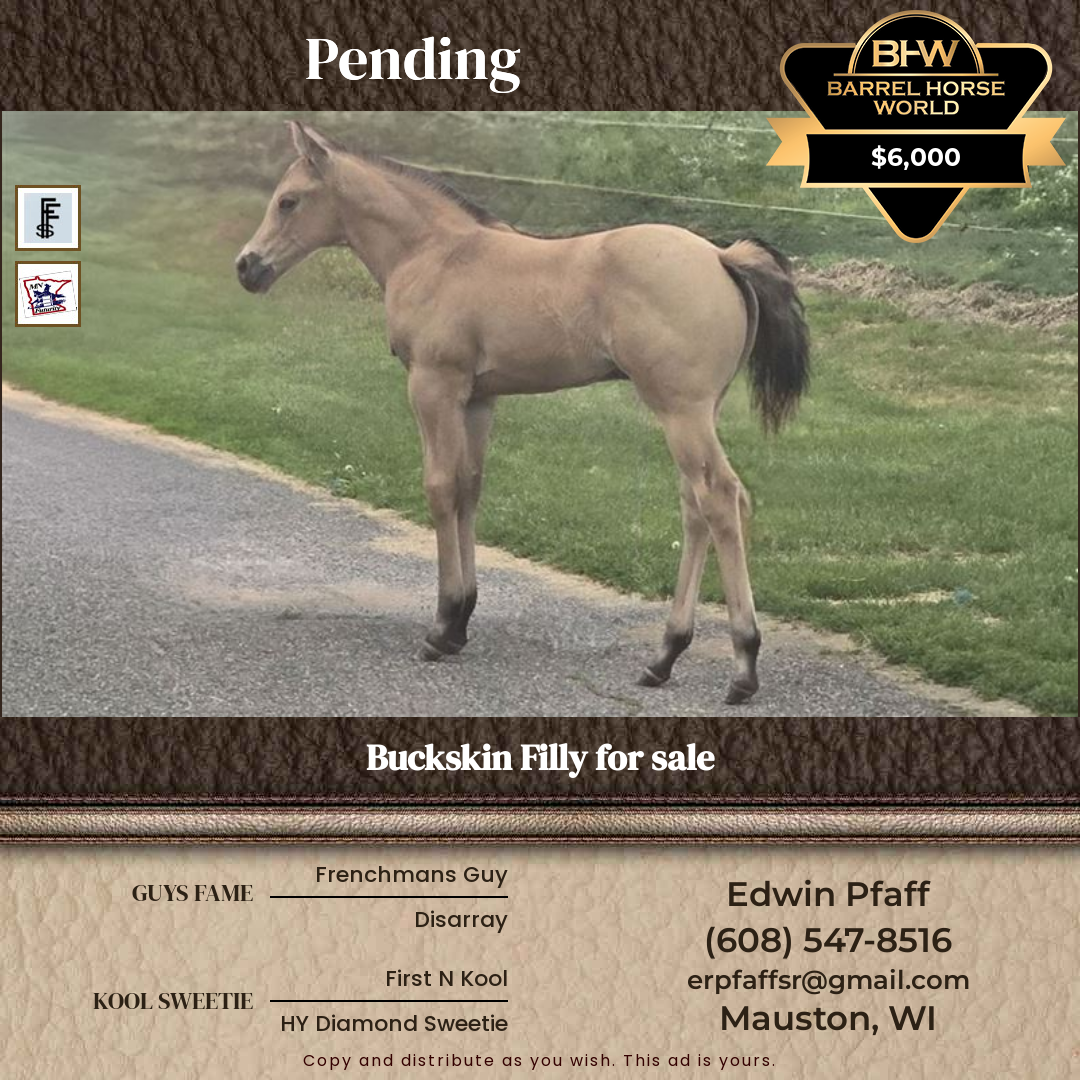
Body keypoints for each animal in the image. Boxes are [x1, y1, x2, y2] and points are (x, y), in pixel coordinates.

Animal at [236, 121, 809, 705]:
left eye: (288, 201)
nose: (247, 267)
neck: (434, 254)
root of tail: (721, 257)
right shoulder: (477, 398)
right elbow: (469, 488)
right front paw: (461, 621)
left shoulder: (433, 386)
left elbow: (439, 488)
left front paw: (440, 628)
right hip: (696, 411)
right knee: (696, 507)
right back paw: (664, 656)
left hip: (680, 411)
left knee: (719, 498)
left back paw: (742, 667)